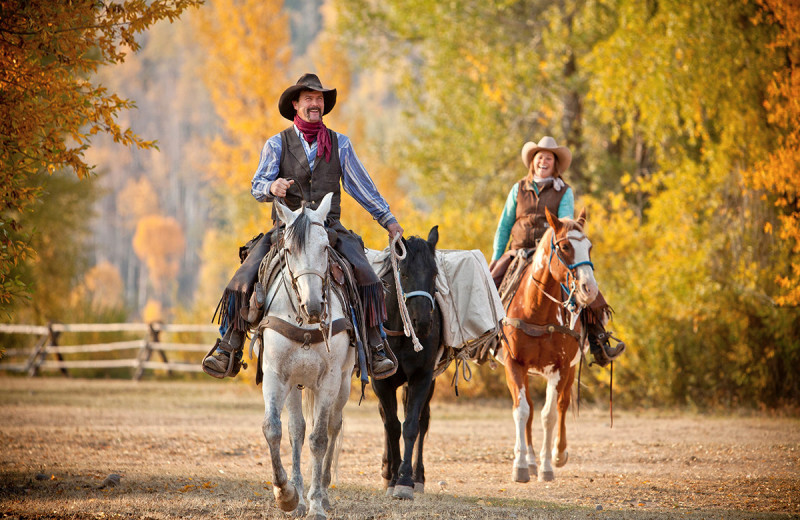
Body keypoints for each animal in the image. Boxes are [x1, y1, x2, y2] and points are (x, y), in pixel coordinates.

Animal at [260, 194, 354, 520]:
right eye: (289, 250)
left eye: (325, 247)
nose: (314, 305)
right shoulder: (276, 375)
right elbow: (275, 429)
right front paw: (287, 495)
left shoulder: (329, 380)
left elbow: (320, 439)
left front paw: (316, 504)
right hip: (295, 384)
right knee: (297, 430)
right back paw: (299, 494)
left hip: (344, 383)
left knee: (334, 425)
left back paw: (322, 493)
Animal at [496, 207, 596, 484]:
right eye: (565, 246)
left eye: (589, 247)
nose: (590, 289)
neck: (536, 310)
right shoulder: (514, 364)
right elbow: (522, 411)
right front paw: (521, 465)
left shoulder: (559, 368)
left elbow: (549, 414)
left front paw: (548, 467)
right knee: (529, 410)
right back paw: (530, 461)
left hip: (570, 370)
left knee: (562, 405)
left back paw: (558, 454)